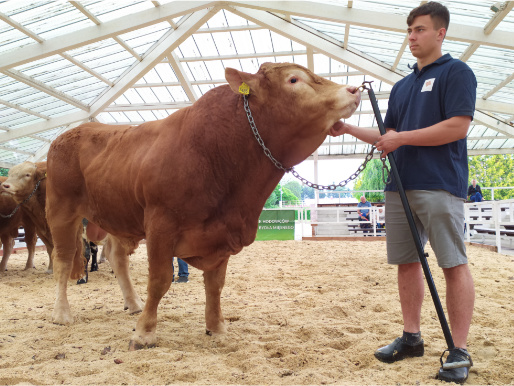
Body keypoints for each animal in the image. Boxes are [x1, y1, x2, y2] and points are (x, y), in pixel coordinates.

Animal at [46, 61, 358, 348]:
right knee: (63, 259)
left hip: (117, 215)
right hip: (61, 212)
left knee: (116, 256)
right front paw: (145, 332)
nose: (354, 90)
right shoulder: (160, 226)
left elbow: (215, 285)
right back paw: (62, 313)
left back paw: (133, 303)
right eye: (294, 79)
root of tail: (66, 135)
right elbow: (159, 280)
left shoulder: (221, 233)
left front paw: (216, 327)